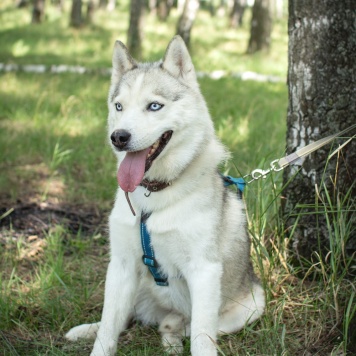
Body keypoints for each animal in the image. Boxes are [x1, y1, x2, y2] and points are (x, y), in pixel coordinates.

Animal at [64, 36, 264, 356]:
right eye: (119, 106)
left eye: (154, 106)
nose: (119, 137)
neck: (154, 192)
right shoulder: (121, 266)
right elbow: (108, 328)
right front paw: (97, 340)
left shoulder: (204, 271)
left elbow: (202, 338)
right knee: (126, 319)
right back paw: (88, 330)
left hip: (251, 307)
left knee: (181, 326)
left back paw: (171, 337)